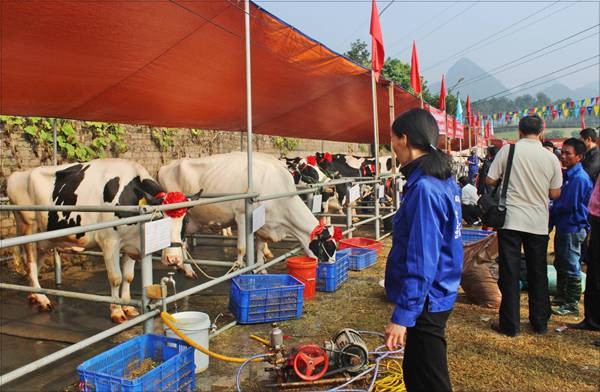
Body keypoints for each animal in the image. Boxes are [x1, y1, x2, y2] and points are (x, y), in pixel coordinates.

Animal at [7, 158, 202, 322]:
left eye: (186, 221)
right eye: (160, 219)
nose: (173, 259)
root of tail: (16, 175)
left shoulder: (131, 245)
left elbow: (128, 277)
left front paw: (128, 307)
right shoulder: (109, 243)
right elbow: (116, 278)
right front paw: (116, 311)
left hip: (45, 238)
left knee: (34, 263)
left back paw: (34, 295)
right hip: (28, 227)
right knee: (30, 262)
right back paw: (42, 298)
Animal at [158, 153, 338, 270]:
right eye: (326, 248)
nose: (332, 266)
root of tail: (165, 166)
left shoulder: (264, 224)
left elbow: (260, 248)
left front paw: (261, 270)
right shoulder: (243, 216)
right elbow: (242, 248)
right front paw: (239, 268)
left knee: (182, 242)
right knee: (180, 242)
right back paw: (187, 269)